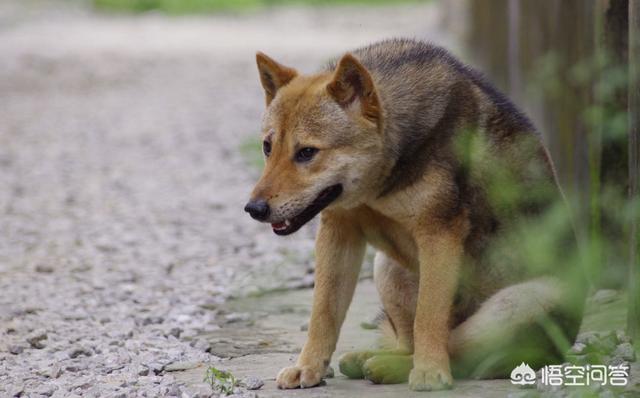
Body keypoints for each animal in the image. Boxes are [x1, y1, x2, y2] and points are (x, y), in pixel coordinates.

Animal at [244, 38, 584, 390]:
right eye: (267, 147)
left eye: (307, 152)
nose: (254, 209)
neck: (379, 183)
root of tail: (558, 351)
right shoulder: (338, 231)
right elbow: (323, 313)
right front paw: (308, 367)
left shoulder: (438, 235)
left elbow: (428, 317)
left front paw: (430, 372)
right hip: (388, 267)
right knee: (410, 341)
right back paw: (374, 359)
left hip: (520, 302)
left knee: (457, 350)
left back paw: (395, 366)